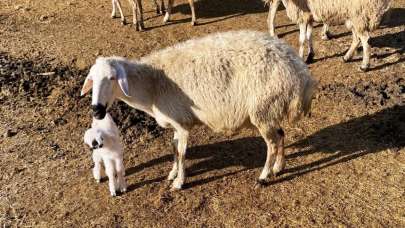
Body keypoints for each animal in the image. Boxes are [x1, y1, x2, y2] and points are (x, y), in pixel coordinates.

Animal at [80, 30, 318, 191]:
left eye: (112, 78)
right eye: (92, 79)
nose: (97, 110)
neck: (152, 86)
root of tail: (301, 72)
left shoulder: (183, 124)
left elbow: (182, 153)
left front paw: (179, 182)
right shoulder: (176, 124)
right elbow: (174, 149)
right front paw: (172, 173)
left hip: (263, 109)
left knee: (272, 143)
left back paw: (264, 176)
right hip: (271, 110)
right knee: (281, 135)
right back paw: (279, 167)